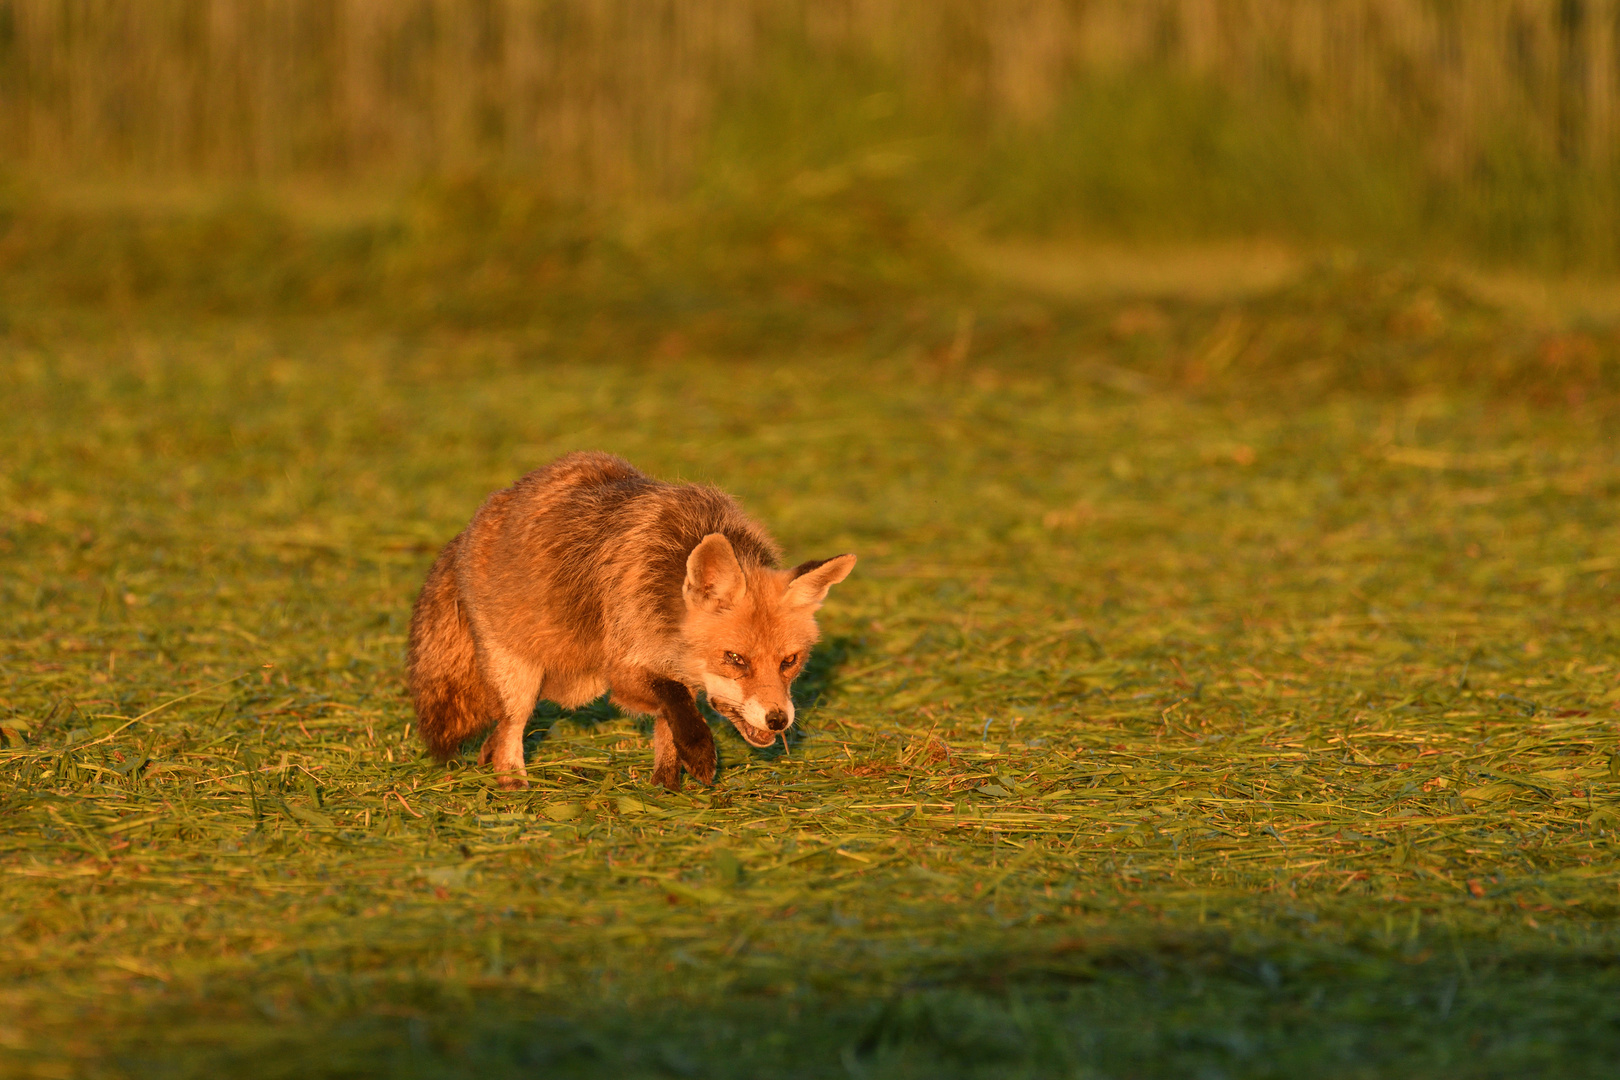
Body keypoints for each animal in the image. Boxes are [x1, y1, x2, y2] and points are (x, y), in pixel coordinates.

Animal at [405, 450, 855, 793]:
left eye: (789, 662)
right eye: (735, 659)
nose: (779, 720)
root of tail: (475, 521)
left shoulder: (670, 669)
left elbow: (670, 727)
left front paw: (666, 788)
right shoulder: (623, 670)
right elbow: (678, 703)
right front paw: (701, 756)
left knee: (496, 736)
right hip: (520, 680)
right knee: (509, 736)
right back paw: (515, 790)